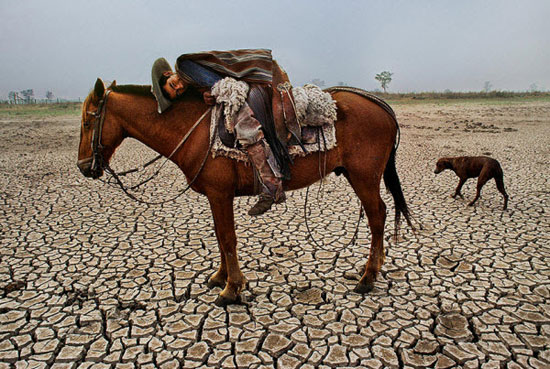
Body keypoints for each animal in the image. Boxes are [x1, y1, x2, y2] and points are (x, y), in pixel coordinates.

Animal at [76, 77, 414, 304]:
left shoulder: (219, 193)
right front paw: (220, 277)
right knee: (380, 215)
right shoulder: (217, 196)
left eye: (87, 123)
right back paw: (370, 271)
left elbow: (227, 238)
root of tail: (380, 106)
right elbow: (219, 235)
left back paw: (367, 278)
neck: (195, 130)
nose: (83, 166)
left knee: (377, 216)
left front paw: (232, 288)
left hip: (364, 177)